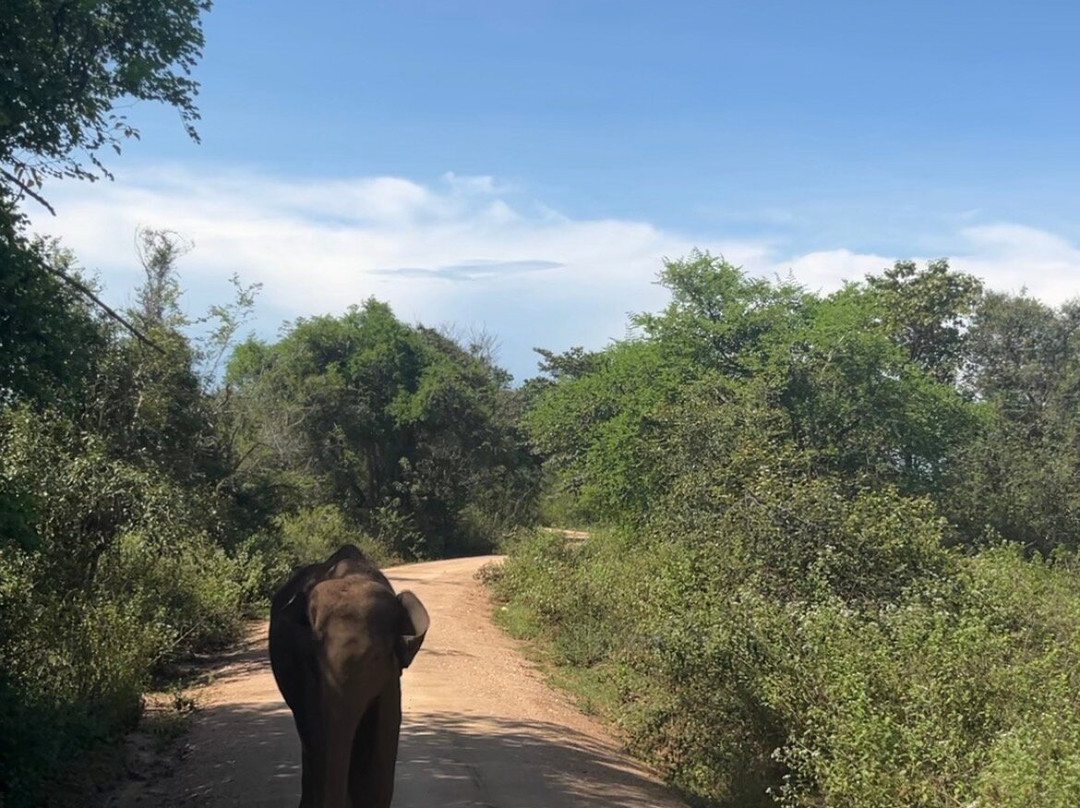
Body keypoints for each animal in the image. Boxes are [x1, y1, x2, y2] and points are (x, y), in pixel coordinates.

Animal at [269, 545, 430, 808]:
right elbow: (320, 734)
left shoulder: (390, 678)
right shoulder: (308, 674)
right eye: (315, 652)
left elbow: (382, 747)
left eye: (376, 657)